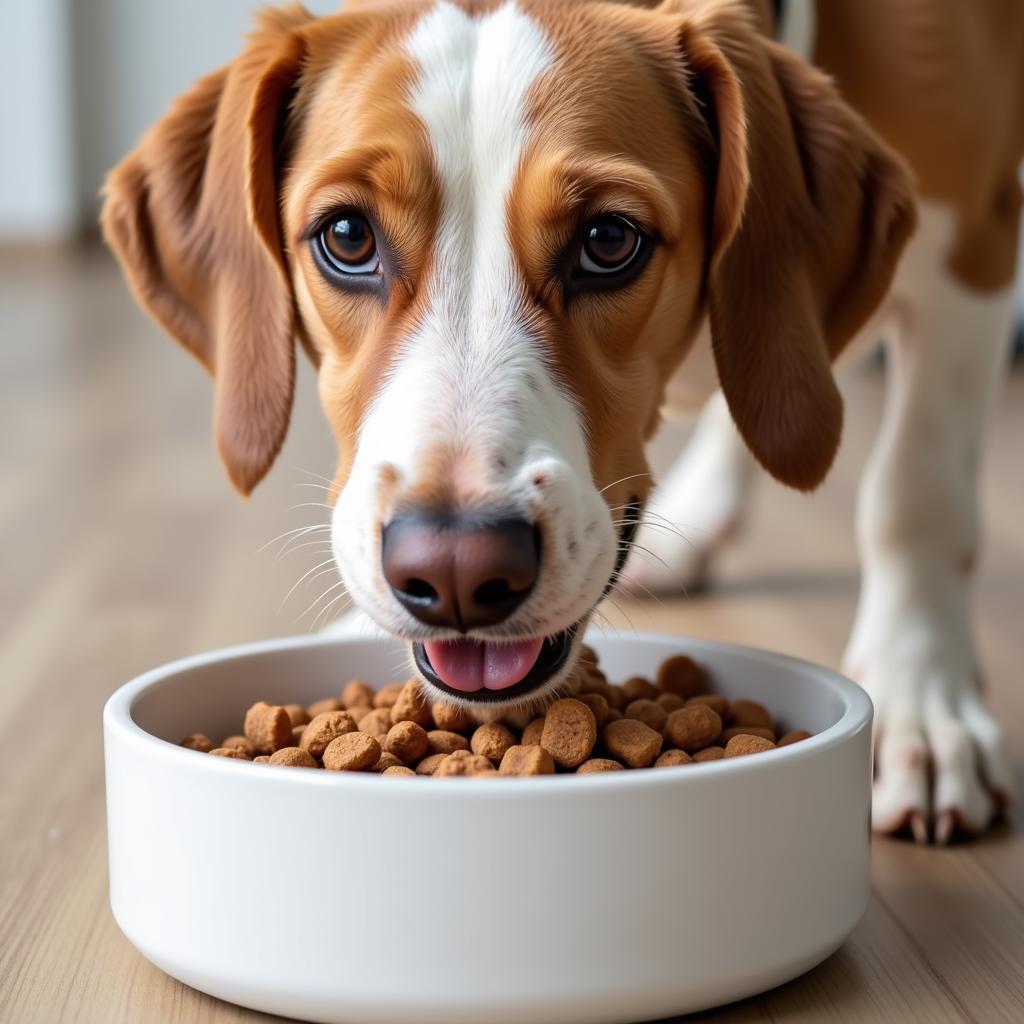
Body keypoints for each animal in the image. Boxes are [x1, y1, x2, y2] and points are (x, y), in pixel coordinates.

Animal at [99, 0, 1019, 843]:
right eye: (347, 236)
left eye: (609, 239)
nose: (457, 572)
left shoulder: (973, 253)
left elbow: (915, 499)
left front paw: (918, 696)